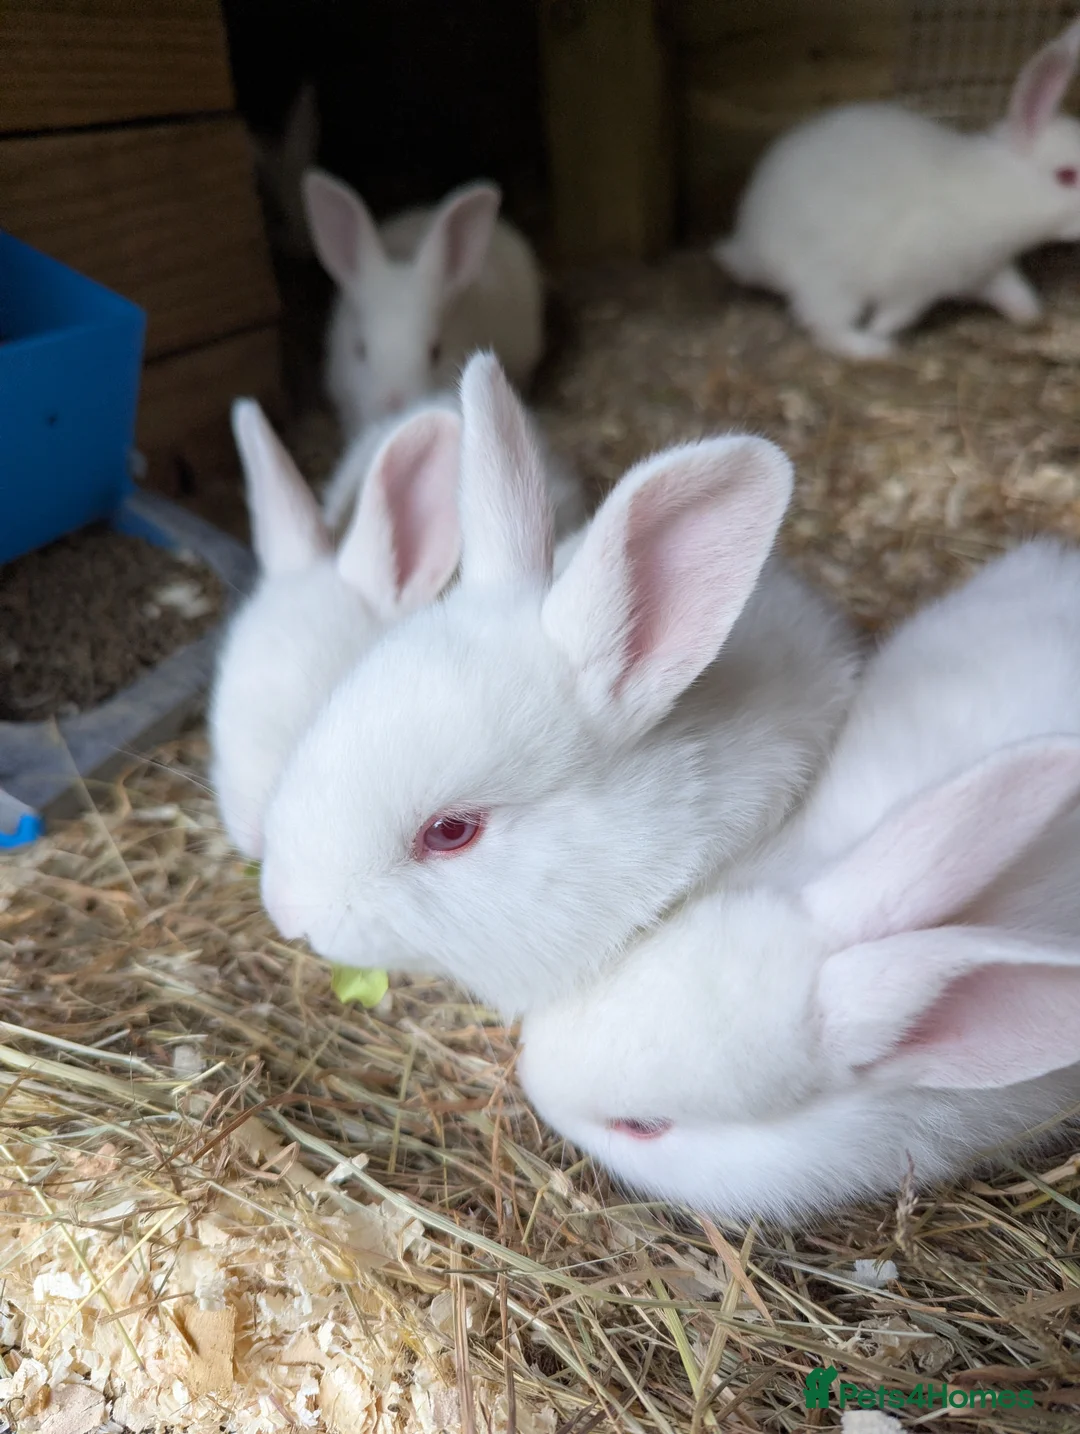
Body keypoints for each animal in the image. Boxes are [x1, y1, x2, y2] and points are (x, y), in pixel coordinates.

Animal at [712, 16, 1080, 358]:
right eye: (1066, 176)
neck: (995, 190)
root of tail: (750, 245)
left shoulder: (987, 271)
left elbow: (1014, 292)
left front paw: (1030, 316)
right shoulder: (913, 280)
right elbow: (899, 313)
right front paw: (879, 331)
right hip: (831, 281)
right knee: (825, 325)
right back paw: (871, 348)